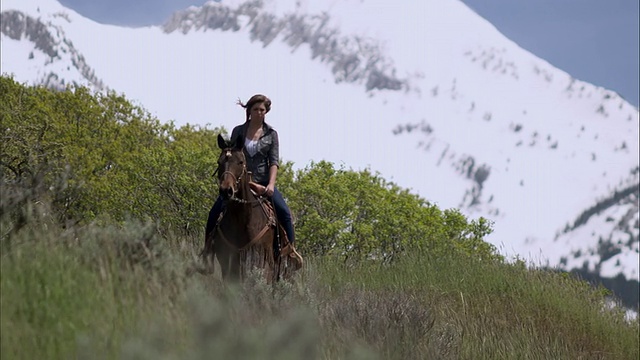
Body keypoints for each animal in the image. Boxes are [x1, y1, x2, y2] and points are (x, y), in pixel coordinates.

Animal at [200, 134, 300, 282]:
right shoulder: (226, 257)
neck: (241, 218)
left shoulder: (263, 258)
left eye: (241, 162)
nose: (226, 191)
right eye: (219, 162)